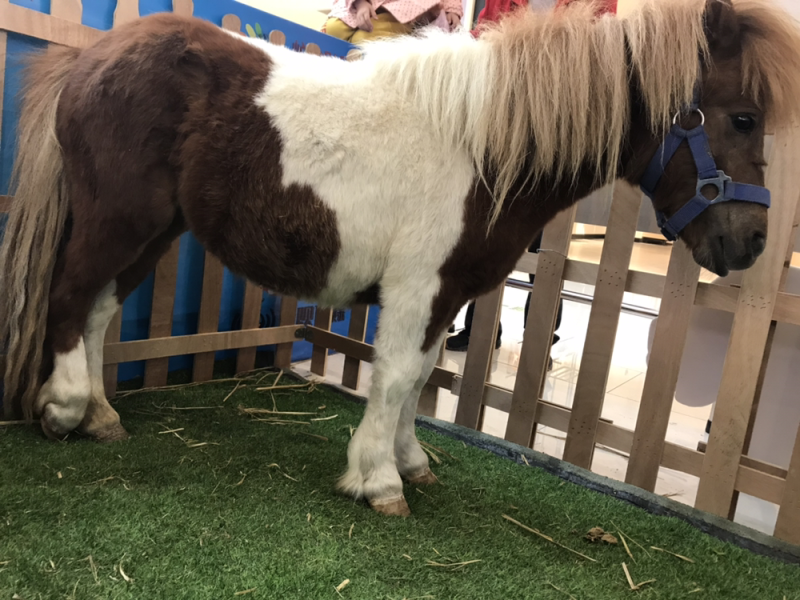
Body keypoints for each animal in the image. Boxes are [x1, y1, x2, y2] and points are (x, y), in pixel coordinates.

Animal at [1, 0, 800, 516]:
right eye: (742, 117)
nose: (751, 244)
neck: (484, 146)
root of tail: (89, 57)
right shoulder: (418, 289)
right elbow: (391, 380)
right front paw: (378, 481)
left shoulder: (447, 295)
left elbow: (420, 380)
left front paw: (411, 464)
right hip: (119, 221)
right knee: (70, 298)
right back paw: (65, 410)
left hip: (153, 231)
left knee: (97, 309)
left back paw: (100, 415)